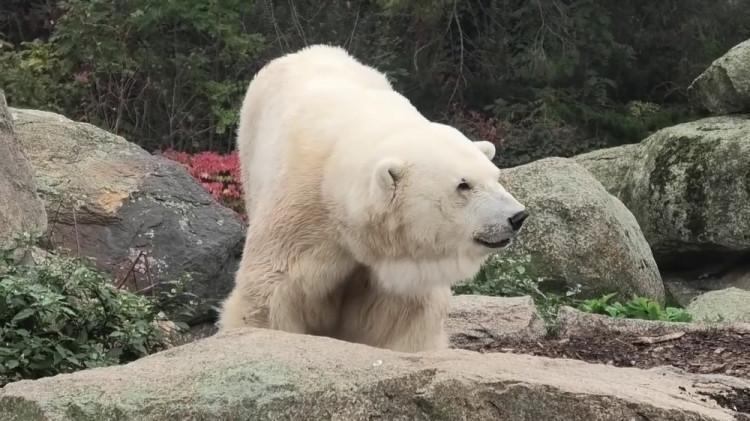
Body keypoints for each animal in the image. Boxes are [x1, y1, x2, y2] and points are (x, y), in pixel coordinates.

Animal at [217, 43, 528, 352]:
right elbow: (272, 292)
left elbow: (403, 317)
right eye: (463, 185)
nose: (517, 217)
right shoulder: (300, 210)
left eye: (495, 177)